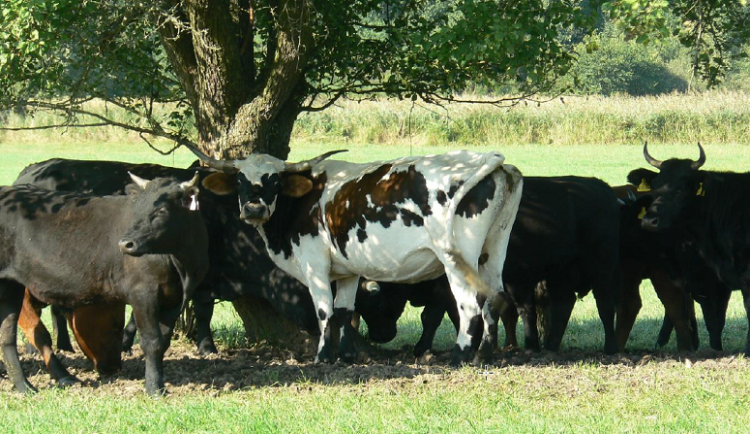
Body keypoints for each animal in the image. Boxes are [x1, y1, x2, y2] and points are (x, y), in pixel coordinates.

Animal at [0, 174, 209, 394]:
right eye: (137, 209)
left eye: (161, 211)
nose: (125, 244)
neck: (183, 264)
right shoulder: (143, 293)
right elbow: (152, 341)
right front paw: (154, 388)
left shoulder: (174, 300)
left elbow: (164, 341)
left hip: (10, 287)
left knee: (6, 336)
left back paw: (24, 386)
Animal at [203, 151, 524, 364]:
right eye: (240, 181)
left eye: (275, 182)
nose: (254, 209)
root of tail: (488, 160)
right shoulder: (348, 271)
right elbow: (345, 310)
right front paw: (346, 355)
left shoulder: (314, 264)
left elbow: (324, 310)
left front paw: (323, 357)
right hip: (493, 250)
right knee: (494, 297)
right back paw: (485, 354)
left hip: (455, 260)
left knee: (469, 304)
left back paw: (459, 356)